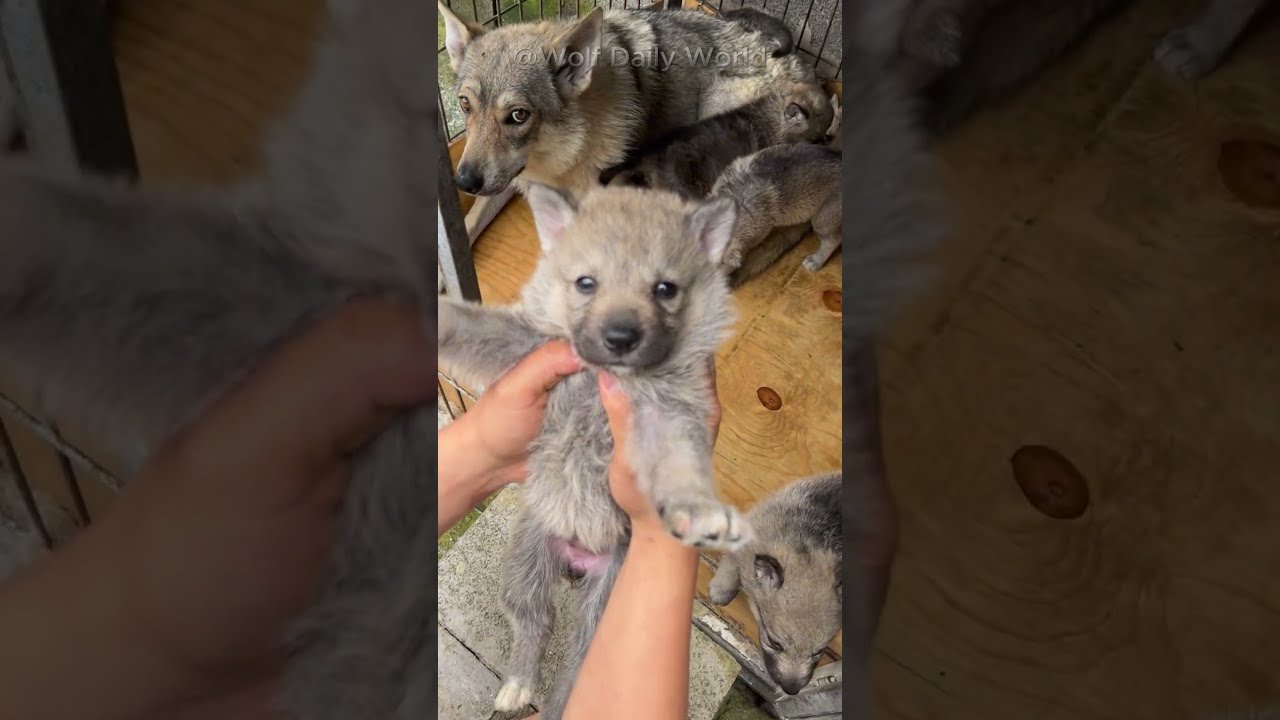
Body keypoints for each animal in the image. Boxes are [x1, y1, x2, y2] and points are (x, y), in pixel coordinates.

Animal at [437, 184, 745, 717]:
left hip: (604, 604)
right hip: (527, 562)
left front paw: (701, 510)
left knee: (576, 664)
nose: (620, 337)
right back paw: (518, 683)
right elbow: (475, 327)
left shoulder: (674, 414)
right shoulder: (525, 350)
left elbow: (682, 464)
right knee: (534, 623)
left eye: (665, 289)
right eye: (586, 283)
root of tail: (578, 561)